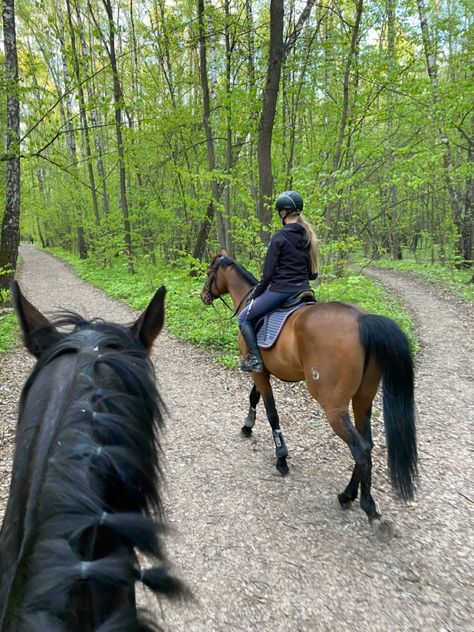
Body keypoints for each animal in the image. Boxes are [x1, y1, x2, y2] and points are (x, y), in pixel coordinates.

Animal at [201, 252, 418, 532]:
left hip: (334, 407)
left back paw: (368, 508)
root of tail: (362, 320)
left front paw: (281, 458)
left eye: (209, 272)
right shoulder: (262, 371)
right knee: (367, 445)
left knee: (360, 449)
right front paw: (247, 426)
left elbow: (272, 413)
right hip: (363, 399)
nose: (203, 295)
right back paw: (347, 495)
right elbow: (254, 397)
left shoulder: (258, 371)